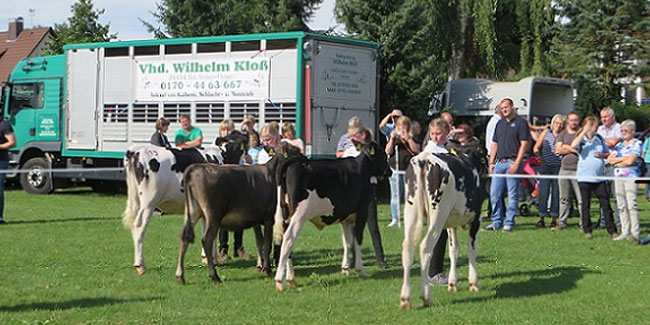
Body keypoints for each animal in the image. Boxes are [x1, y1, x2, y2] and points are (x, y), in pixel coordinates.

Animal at [121, 130, 246, 274]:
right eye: (240, 147)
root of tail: (136, 150)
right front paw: (213, 260)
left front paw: (207, 258)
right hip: (149, 202)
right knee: (139, 226)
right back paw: (140, 265)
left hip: (136, 200)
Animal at [175, 142, 302, 284]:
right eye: (295, 150)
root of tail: (196, 168)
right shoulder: (270, 217)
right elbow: (267, 243)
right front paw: (267, 269)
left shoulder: (256, 219)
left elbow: (260, 242)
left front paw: (260, 266)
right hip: (213, 214)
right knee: (207, 240)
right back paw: (214, 276)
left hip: (192, 211)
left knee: (184, 237)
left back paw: (180, 276)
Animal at [270, 142, 388, 292]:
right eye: (384, 155)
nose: (390, 171)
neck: (361, 168)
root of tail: (292, 161)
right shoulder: (362, 212)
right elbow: (358, 239)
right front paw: (360, 270)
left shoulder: (346, 218)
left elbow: (347, 241)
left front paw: (345, 268)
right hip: (299, 214)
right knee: (289, 238)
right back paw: (281, 280)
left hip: (285, 214)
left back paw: (291, 279)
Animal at [394, 149, 486, 308]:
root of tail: (423, 159)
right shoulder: (476, 218)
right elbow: (471, 250)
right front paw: (474, 283)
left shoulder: (451, 224)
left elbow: (454, 250)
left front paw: (452, 284)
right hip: (437, 215)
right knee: (425, 248)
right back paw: (426, 297)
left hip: (411, 211)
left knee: (407, 249)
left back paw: (405, 299)